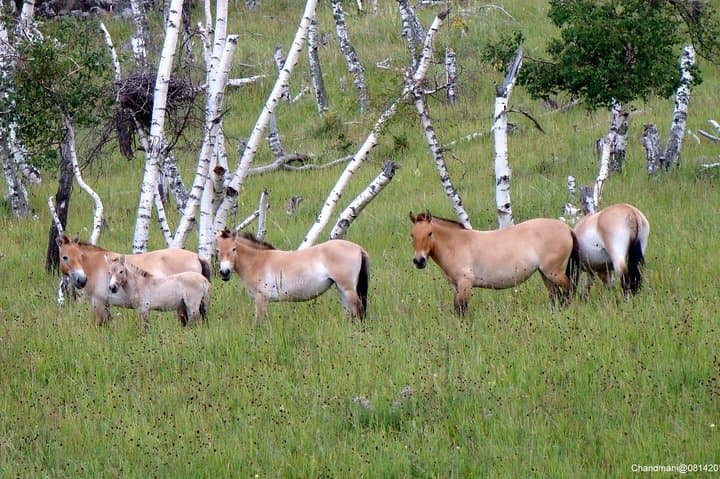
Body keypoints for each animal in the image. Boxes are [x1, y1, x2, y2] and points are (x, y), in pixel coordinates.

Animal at [56, 234, 212, 325]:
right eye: (65, 257)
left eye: (80, 256)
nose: (81, 280)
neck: (96, 265)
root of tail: (197, 256)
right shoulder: (105, 304)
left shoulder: (98, 302)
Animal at [215, 229, 370, 320]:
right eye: (217, 250)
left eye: (233, 249)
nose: (224, 272)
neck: (258, 261)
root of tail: (358, 248)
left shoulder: (261, 299)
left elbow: (260, 322)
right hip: (342, 289)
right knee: (349, 312)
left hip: (347, 288)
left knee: (358, 309)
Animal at [409, 211, 579, 315]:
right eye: (412, 235)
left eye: (429, 233)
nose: (419, 261)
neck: (456, 244)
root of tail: (567, 228)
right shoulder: (455, 286)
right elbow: (457, 309)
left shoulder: (465, 283)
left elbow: (463, 309)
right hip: (545, 274)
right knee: (555, 296)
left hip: (553, 272)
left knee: (569, 289)